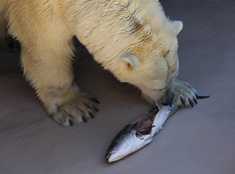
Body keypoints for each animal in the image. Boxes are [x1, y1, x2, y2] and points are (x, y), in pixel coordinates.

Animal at [0, 0, 202, 125]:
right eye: (157, 87)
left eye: (173, 75)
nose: (167, 100)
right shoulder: (36, 9)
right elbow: (47, 49)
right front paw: (76, 106)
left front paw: (183, 92)